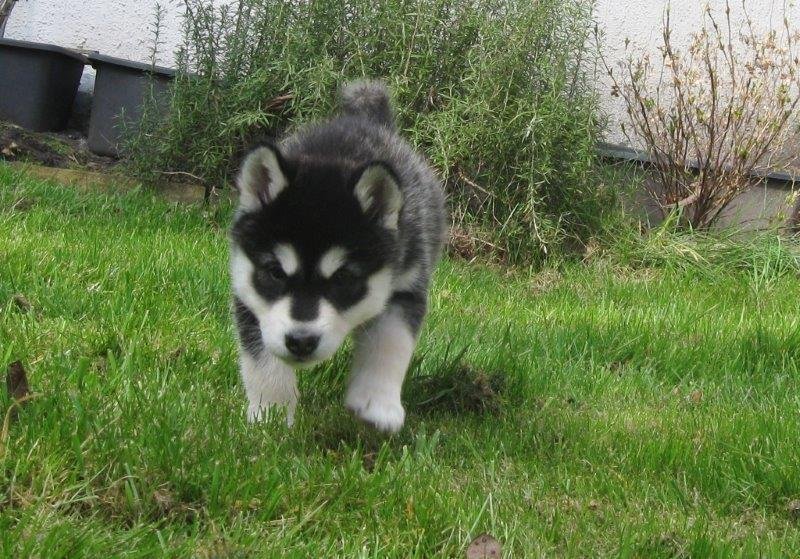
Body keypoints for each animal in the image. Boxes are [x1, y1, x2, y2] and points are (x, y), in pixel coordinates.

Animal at [229, 80, 446, 433]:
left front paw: (377, 404)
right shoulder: (249, 296)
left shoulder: (406, 287)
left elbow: (391, 343)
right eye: (275, 272)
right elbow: (262, 360)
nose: (301, 341)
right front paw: (271, 416)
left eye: (343, 278)